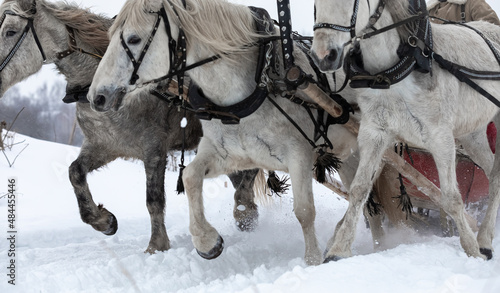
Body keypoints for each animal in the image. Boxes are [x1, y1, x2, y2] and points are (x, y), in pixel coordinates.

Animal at [312, 0, 500, 258]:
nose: (323, 56)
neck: (390, 74)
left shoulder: (440, 137)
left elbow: (451, 198)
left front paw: (471, 250)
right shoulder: (374, 133)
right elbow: (360, 190)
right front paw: (338, 250)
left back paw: (483, 241)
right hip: (473, 135)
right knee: (493, 175)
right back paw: (485, 238)